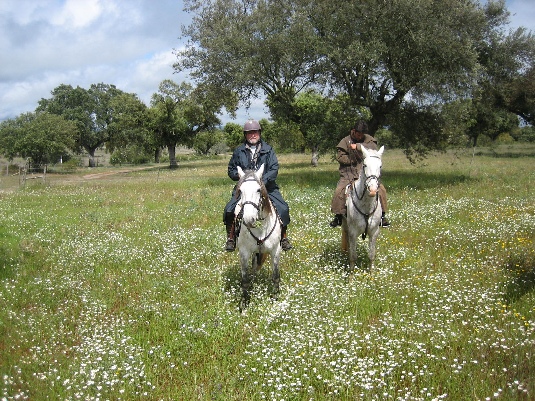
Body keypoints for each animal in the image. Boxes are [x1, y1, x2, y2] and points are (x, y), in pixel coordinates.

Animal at [236, 162, 282, 306]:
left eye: (258, 190)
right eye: (240, 191)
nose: (248, 219)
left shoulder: (275, 251)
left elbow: (275, 277)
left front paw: (276, 300)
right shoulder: (244, 252)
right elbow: (245, 280)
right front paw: (244, 304)